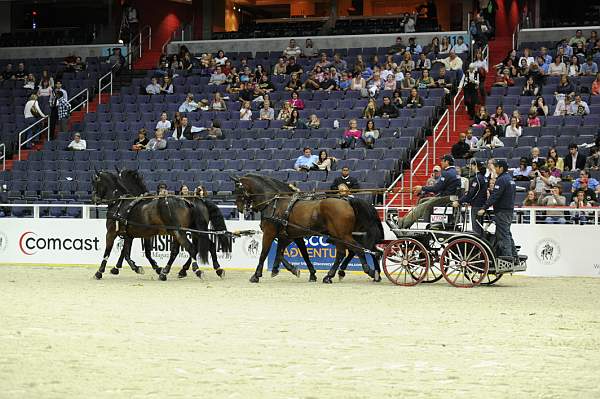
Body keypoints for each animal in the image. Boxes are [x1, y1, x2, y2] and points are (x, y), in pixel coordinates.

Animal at [232, 175, 382, 284]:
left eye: (237, 190)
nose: (239, 208)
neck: (273, 203)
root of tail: (347, 201)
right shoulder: (289, 236)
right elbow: (291, 254)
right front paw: (299, 271)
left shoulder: (270, 233)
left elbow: (264, 253)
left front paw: (256, 275)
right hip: (340, 235)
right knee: (349, 252)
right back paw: (334, 275)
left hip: (342, 235)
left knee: (357, 249)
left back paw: (366, 271)